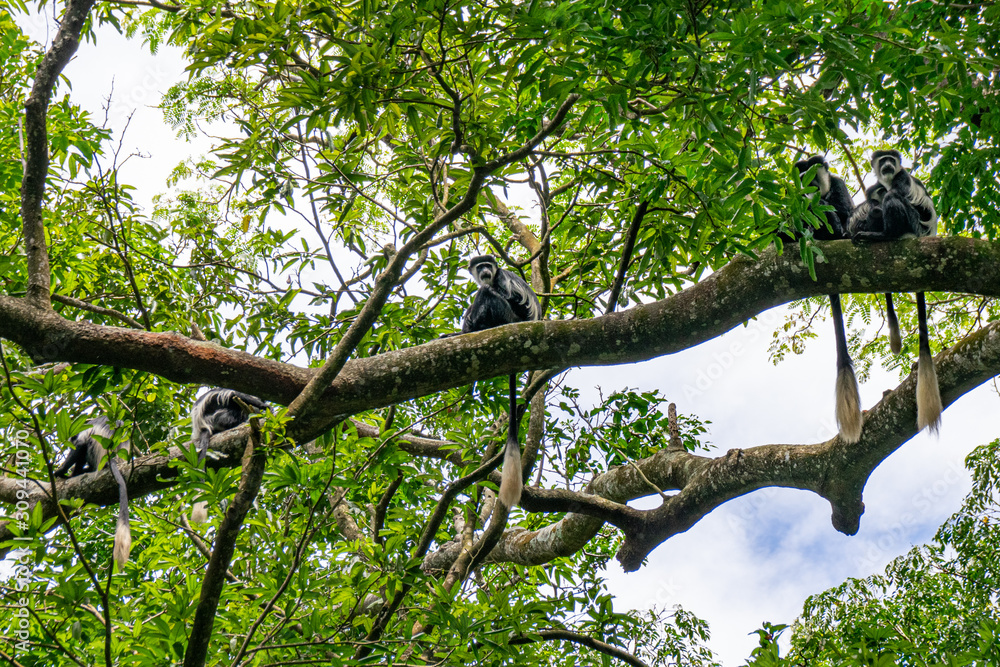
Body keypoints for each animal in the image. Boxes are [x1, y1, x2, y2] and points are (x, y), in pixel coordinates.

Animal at [462, 255, 541, 508]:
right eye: (480, 267)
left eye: (488, 265)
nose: (485, 271)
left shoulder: (503, 280)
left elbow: (503, 294)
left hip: (508, 317)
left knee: (487, 293)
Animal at [848, 149, 942, 434]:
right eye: (883, 161)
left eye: (892, 160)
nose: (889, 164)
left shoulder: (901, 179)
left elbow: (896, 195)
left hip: (913, 222)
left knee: (894, 201)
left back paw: (882, 234)